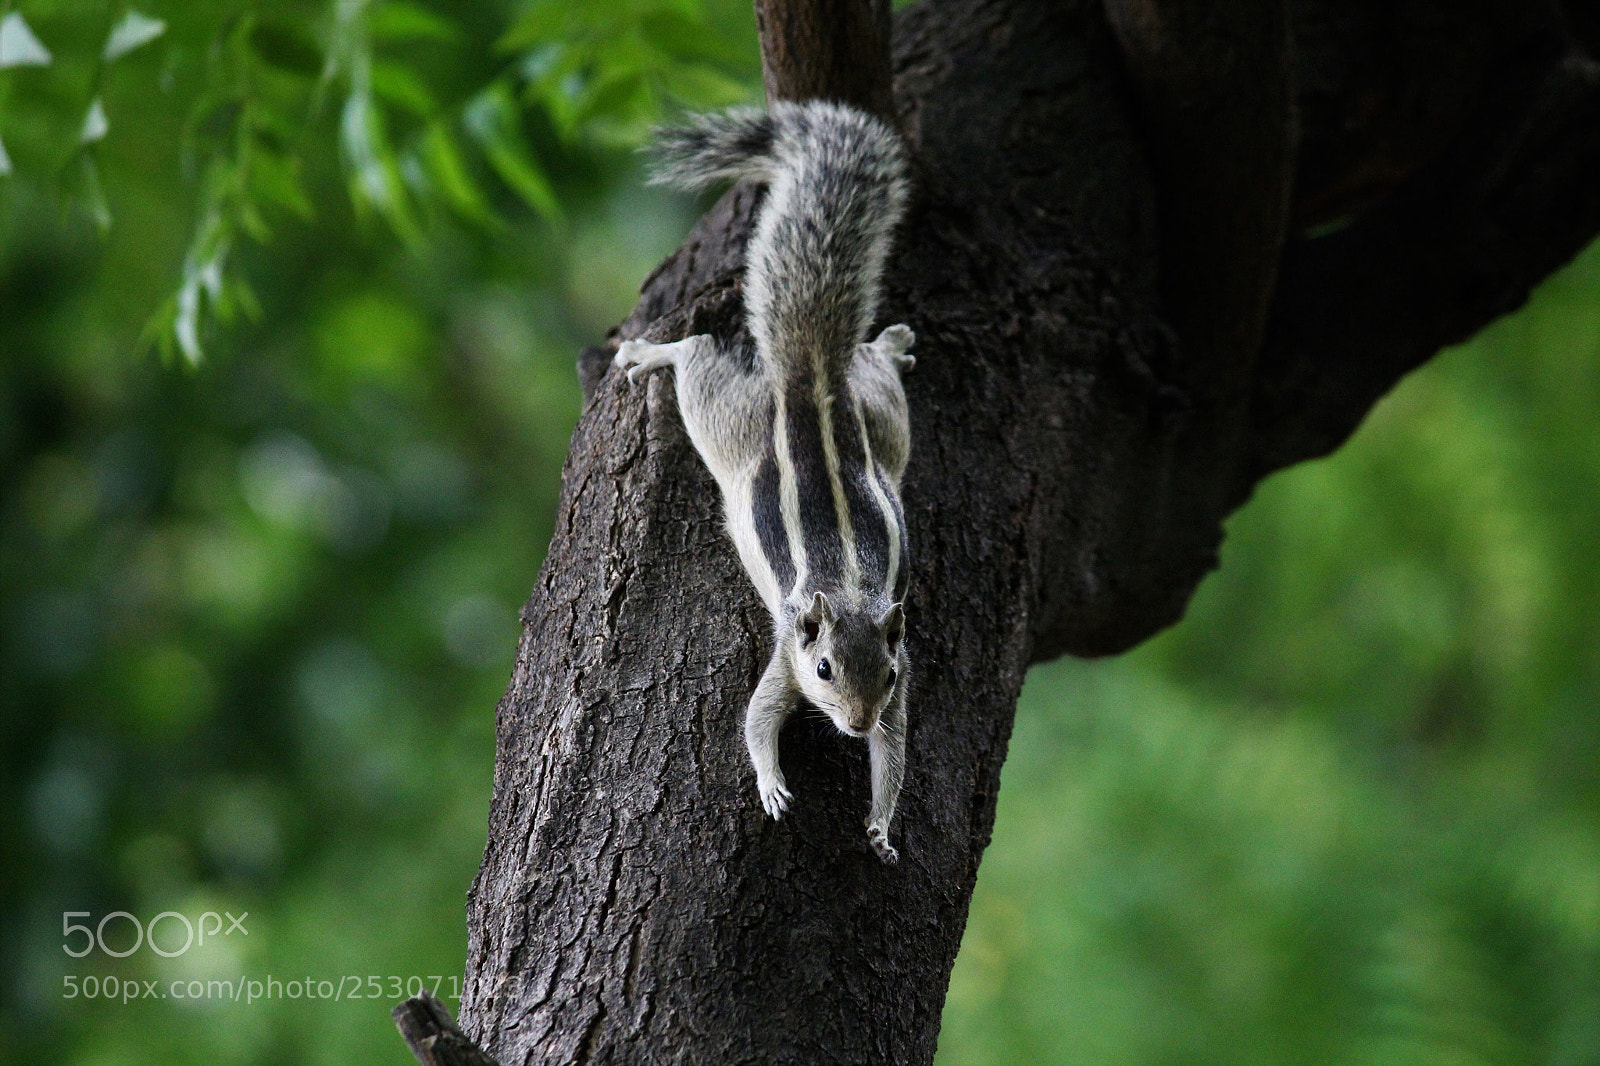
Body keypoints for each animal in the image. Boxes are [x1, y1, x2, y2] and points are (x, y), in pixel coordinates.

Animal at [614, 100, 914, 864]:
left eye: (888, 674)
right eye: (825, 670)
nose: (856, 724)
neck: (847, 594)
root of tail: (809, 375)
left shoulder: (901, 682)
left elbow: (897, 751)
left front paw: (881, 825)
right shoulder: (786, 653)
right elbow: (755, 720)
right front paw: (773, 784)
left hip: (884, 423)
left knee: (876, 369)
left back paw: (892, 343)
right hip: (728, 425)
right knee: (696, 352)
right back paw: (650, 352)